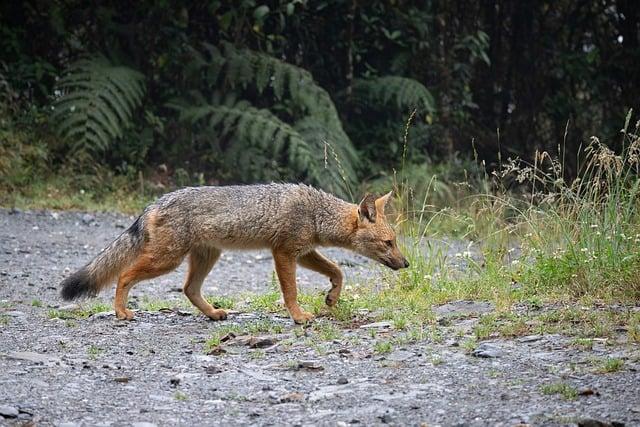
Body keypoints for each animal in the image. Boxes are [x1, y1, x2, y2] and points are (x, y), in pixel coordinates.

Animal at [61, 184, 410, 324]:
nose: (406, 263)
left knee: (188, 289)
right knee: (124, 274)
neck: (316, 213)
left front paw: (332, 297)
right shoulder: (284, 253)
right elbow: (291, 291)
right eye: (389, 243)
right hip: (167, 260)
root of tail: (156, 201)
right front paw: (298, 317)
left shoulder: (304, 252)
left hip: (205, 258)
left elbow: (338, 270)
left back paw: (214, 314)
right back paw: (121, 311)